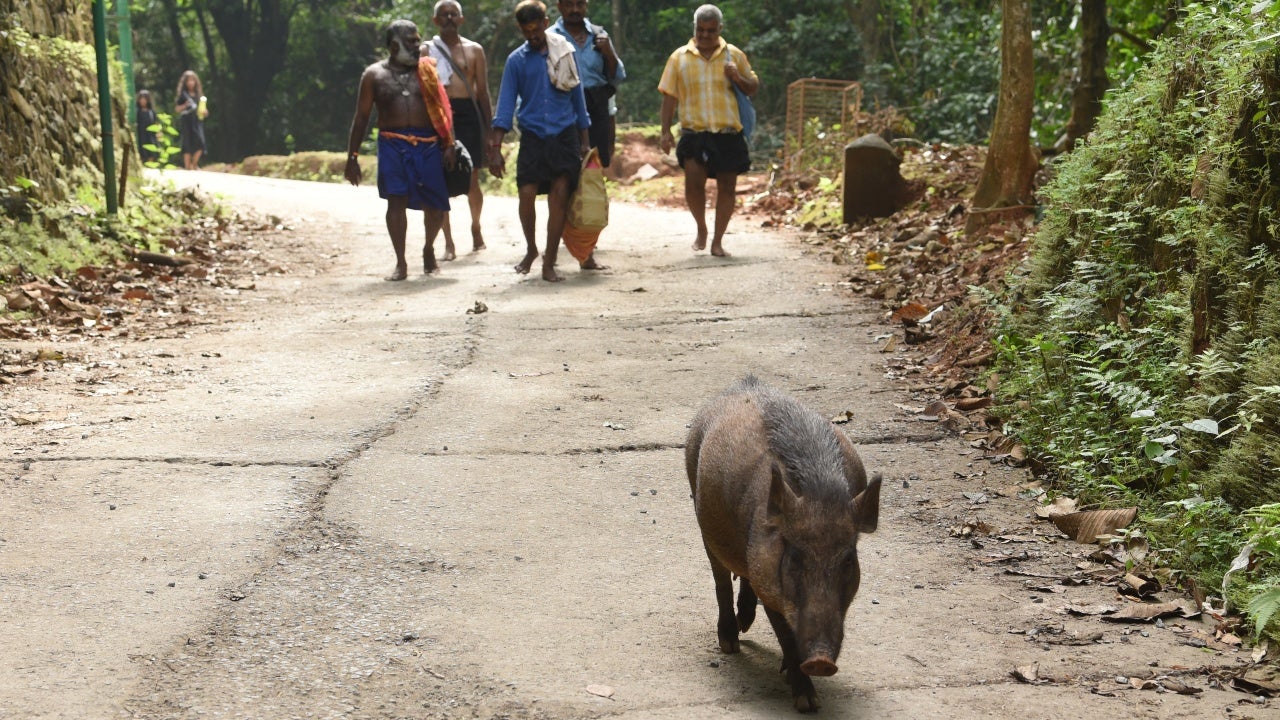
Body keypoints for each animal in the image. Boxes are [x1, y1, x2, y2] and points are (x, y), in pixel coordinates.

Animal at [686, 376, 881, 712]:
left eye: (848, 560)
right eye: (795, 557)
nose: (821, 661)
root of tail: (745, 384)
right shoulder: (770, 583)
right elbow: (786, 636)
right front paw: (807, 703)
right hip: (699, 511)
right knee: (721, 580)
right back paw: (731, 643)